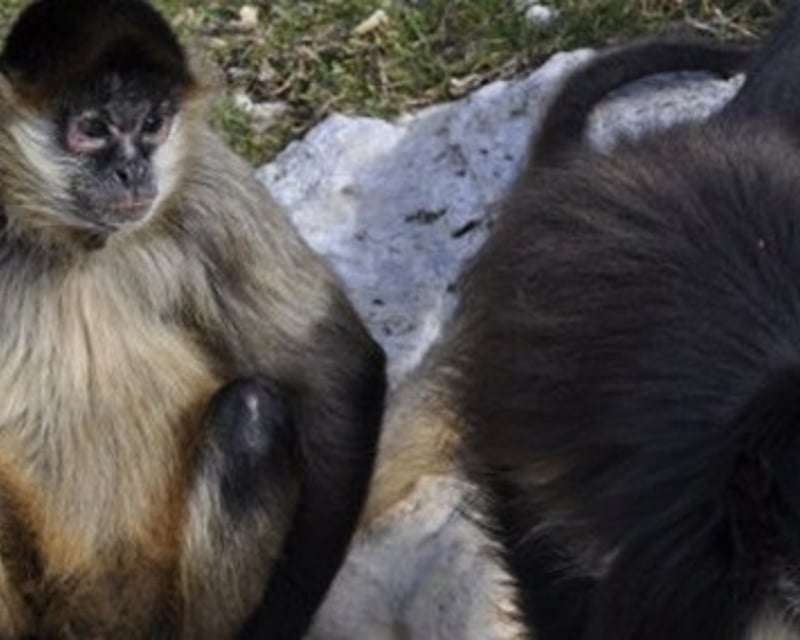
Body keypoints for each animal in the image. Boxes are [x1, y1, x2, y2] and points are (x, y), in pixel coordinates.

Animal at [0, 1, 386, 638]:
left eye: (153, 124)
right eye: (93, 129)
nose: (133, 171)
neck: (71, 242)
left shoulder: (206, 178)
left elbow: (338, 369)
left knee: (250, 413)